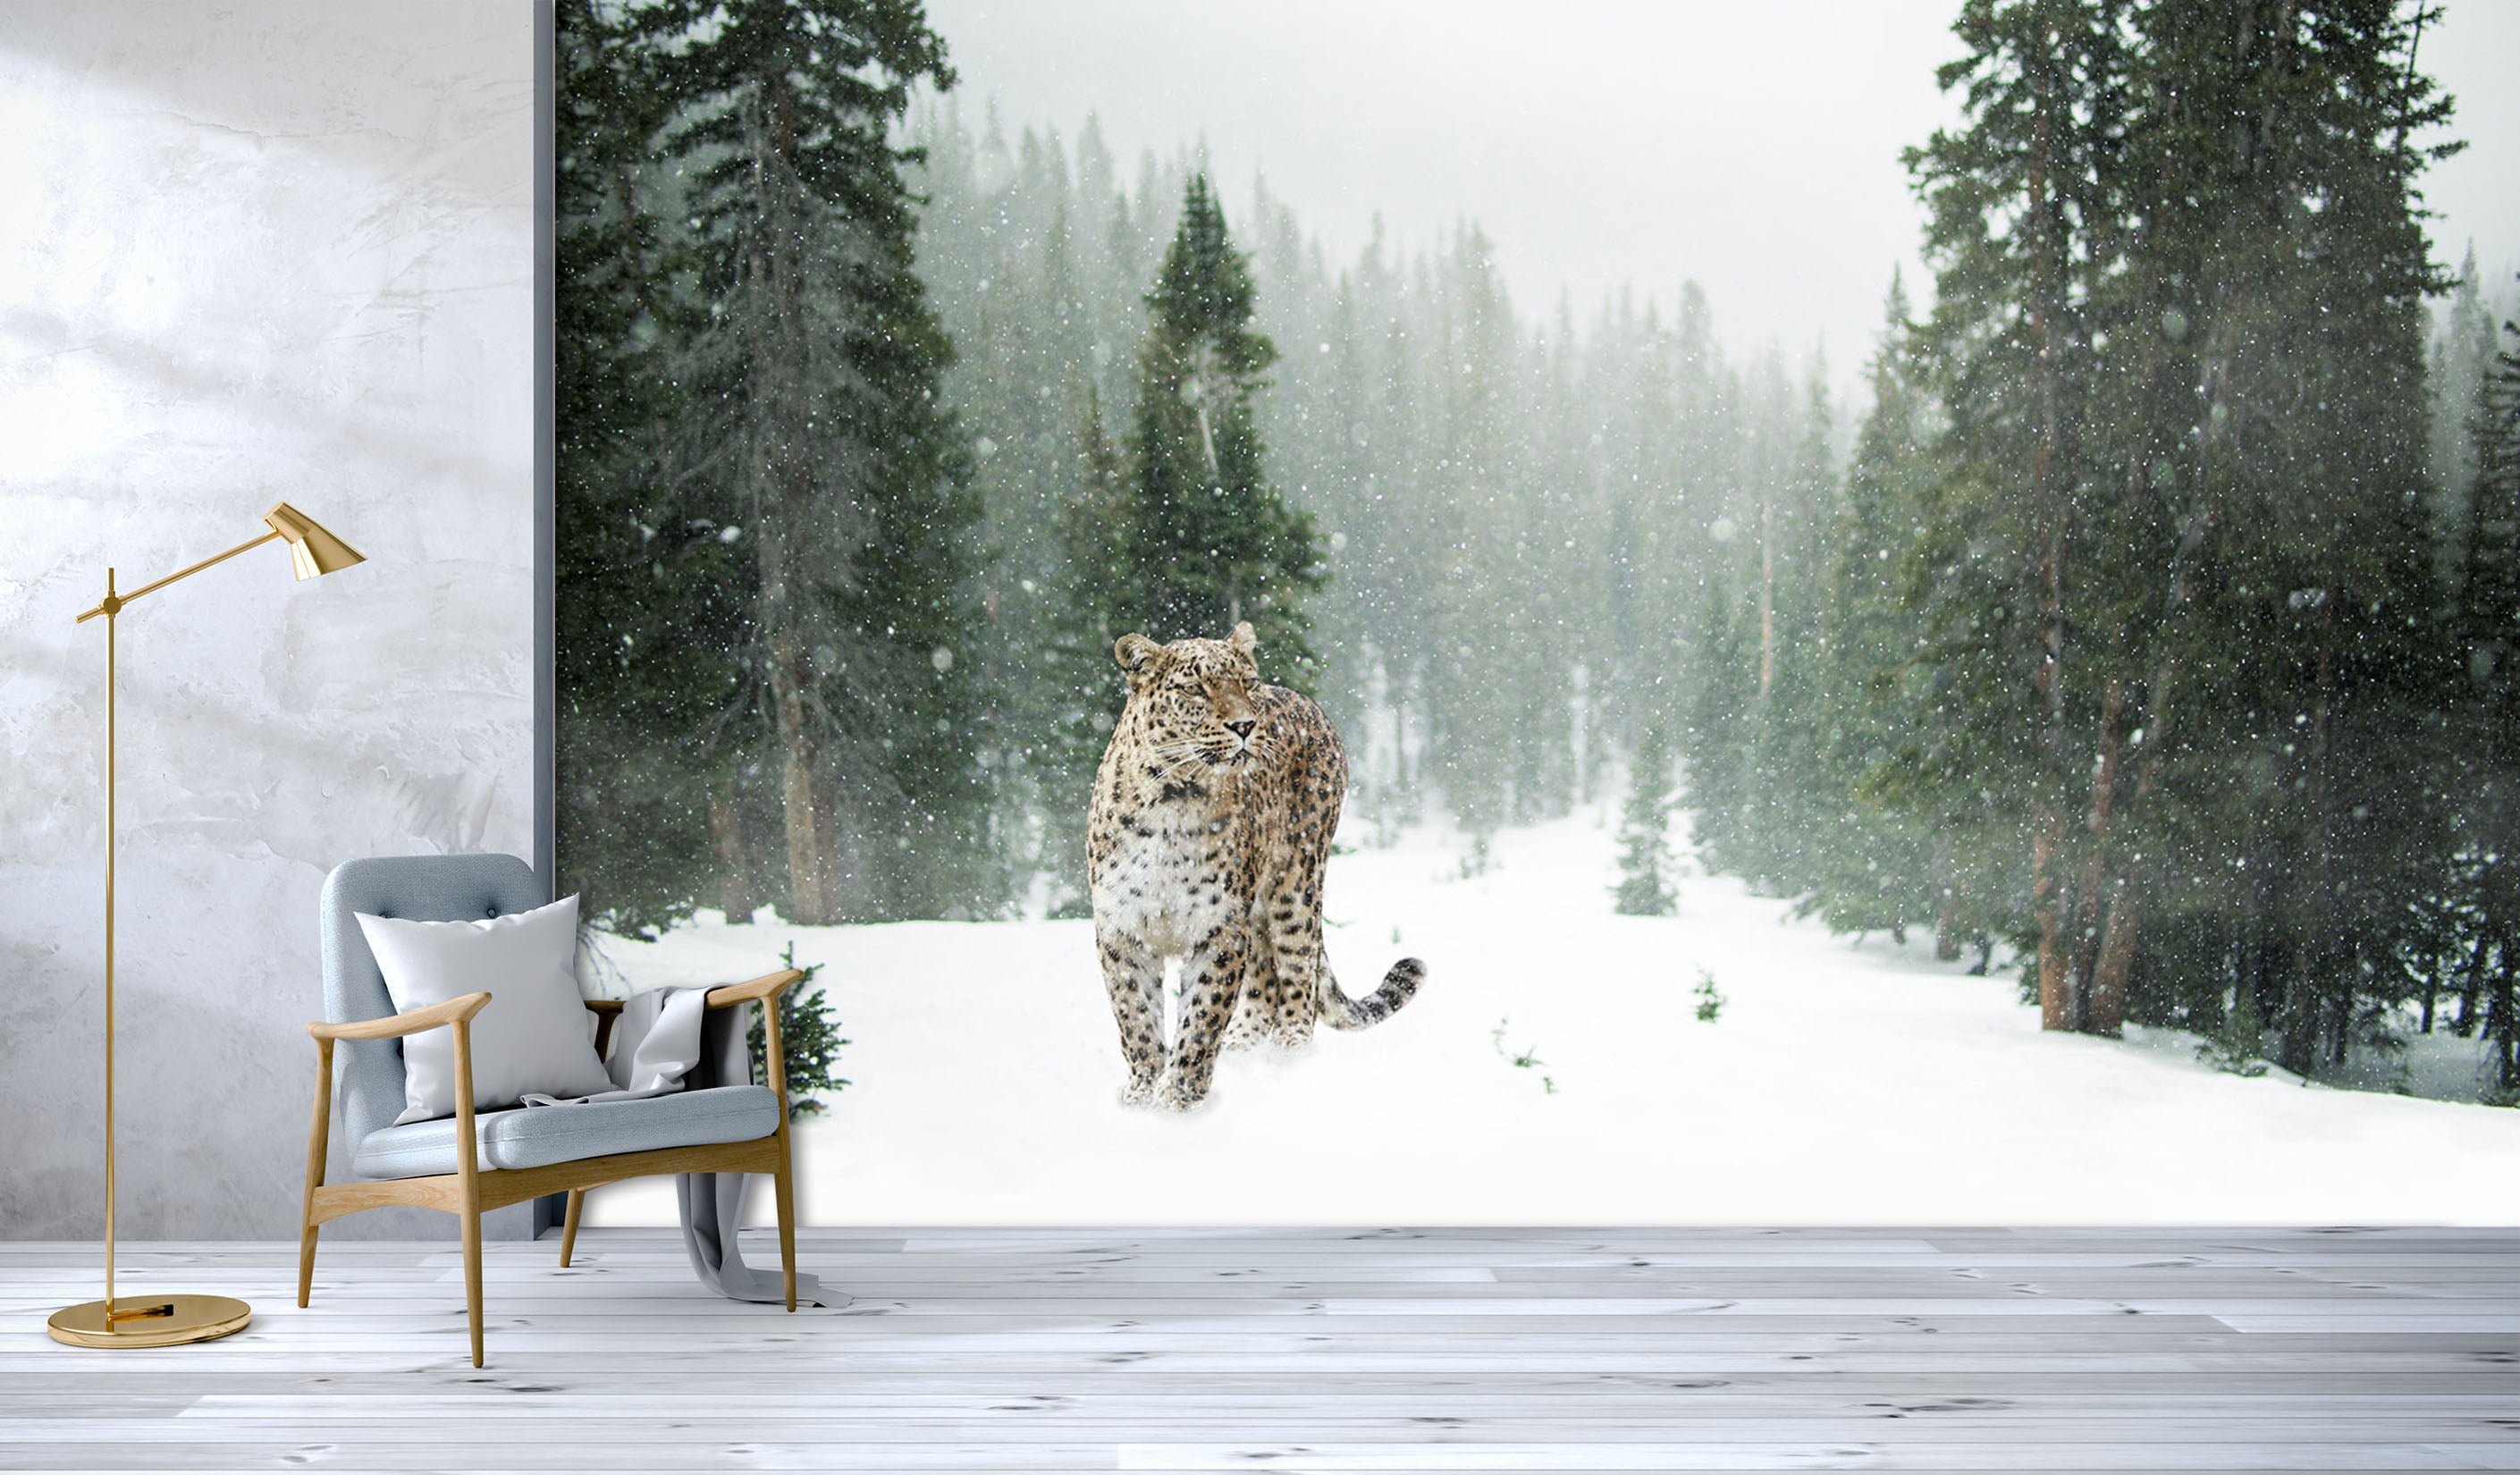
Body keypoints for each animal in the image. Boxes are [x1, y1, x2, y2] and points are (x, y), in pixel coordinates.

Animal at [1087, 622, 1424, 1111]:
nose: (1245, 725)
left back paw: (1288, 1055)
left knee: (1298, 970)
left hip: (1296, 883)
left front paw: (1179, 1099)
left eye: (1246, 683)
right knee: (1265, 975)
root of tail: (1307, 701)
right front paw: (1142, 1094)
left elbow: (1201, 1018)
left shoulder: (1220, 928)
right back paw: (1243, 1046)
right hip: (1261, 908)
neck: (1174, 799)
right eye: (1195, 688)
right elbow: (1136, 1019)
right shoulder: (1123, 929)